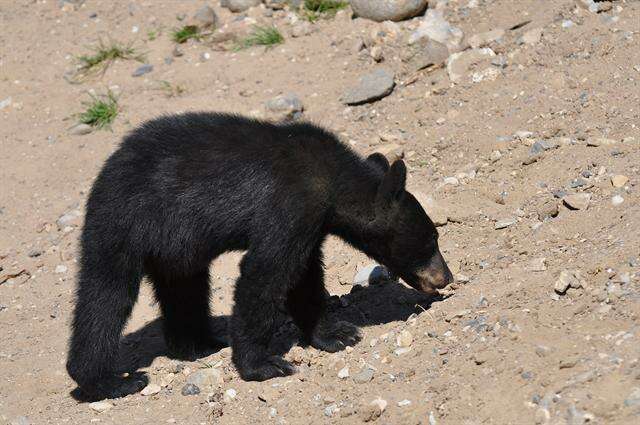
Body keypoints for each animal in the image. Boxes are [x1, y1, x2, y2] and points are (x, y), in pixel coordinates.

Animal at [67, 112, 452, 398]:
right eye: (432, 238)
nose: (447, 277)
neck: (332, 178)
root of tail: (103, 175)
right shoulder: (290, 204)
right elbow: (265, 274)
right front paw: (263, 365)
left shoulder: (310, 225)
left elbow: (304, 278)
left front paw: (335, 334)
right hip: (122, 224)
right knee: (105, 297)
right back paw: (109, 381)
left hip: (174, 250)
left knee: (185, 289)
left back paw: (198, 344)